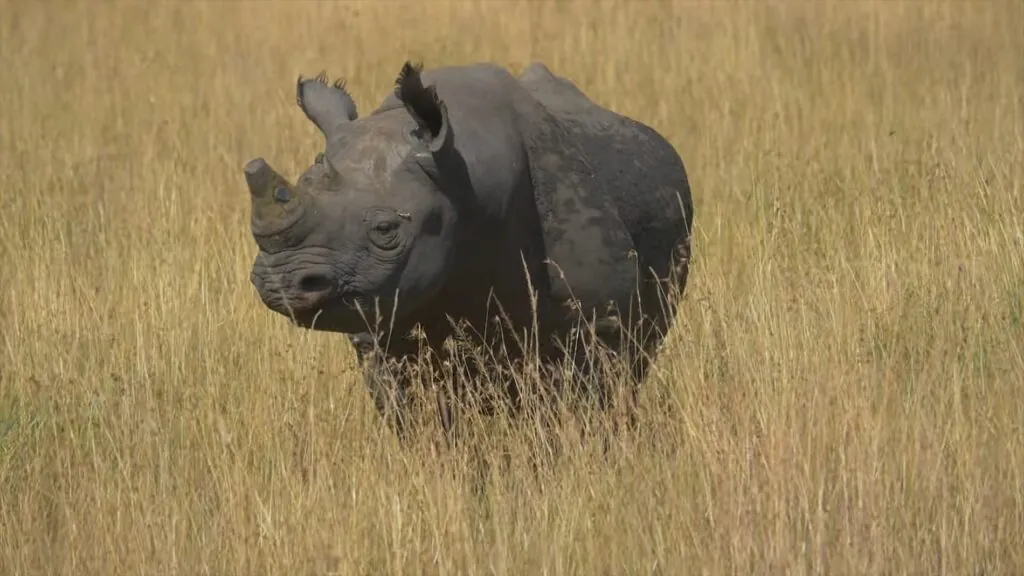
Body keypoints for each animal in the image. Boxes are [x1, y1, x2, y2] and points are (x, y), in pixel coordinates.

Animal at [242, 59, 692, 434]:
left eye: (386, 229)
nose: (281, 281)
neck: (465, 179)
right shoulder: (378, 325)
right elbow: (418, 417)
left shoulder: (599, 321)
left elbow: (585, 408)